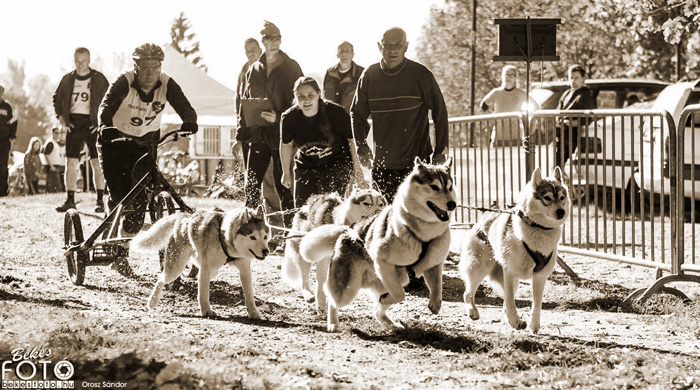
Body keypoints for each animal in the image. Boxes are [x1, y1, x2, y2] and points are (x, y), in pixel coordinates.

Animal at [133, 207, 270, 320]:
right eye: (252, 237)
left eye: (265, 236)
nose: (266, 251)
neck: (225, 237)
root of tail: (185, 217)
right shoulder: (206, 269)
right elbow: (204, 294)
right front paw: (207, 311)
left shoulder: (244, 269)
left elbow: (249, 295)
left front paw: (253, 313)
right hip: (176, 268)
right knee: (161, 278)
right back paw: (152, 301)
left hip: (212, 270)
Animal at [298, 158, 456, 332]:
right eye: (434, 186)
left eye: (450, 187)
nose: (452, 204)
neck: (422, 233)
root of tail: (347, 230)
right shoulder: (383, 263)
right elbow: (399, 294)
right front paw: (388, 298)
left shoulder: (434, 263)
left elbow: (437, 285)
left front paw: (435, 303)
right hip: (347, 290)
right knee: (332, 300)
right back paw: (333, 323)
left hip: (398, 278)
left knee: (376, 310)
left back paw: (391, 324)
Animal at [460, 166, 568, 334]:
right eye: (547, 197)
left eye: (562, 197)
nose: (561, 211)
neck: (538, 228)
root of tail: (485, 215)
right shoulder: (509, 271)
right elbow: (510, 301)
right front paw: (513, 320)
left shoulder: (540, 276)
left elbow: (536, 304)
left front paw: (533, 324)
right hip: (479, 268)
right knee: (468, 293)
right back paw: (473, 311)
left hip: (512, 280)